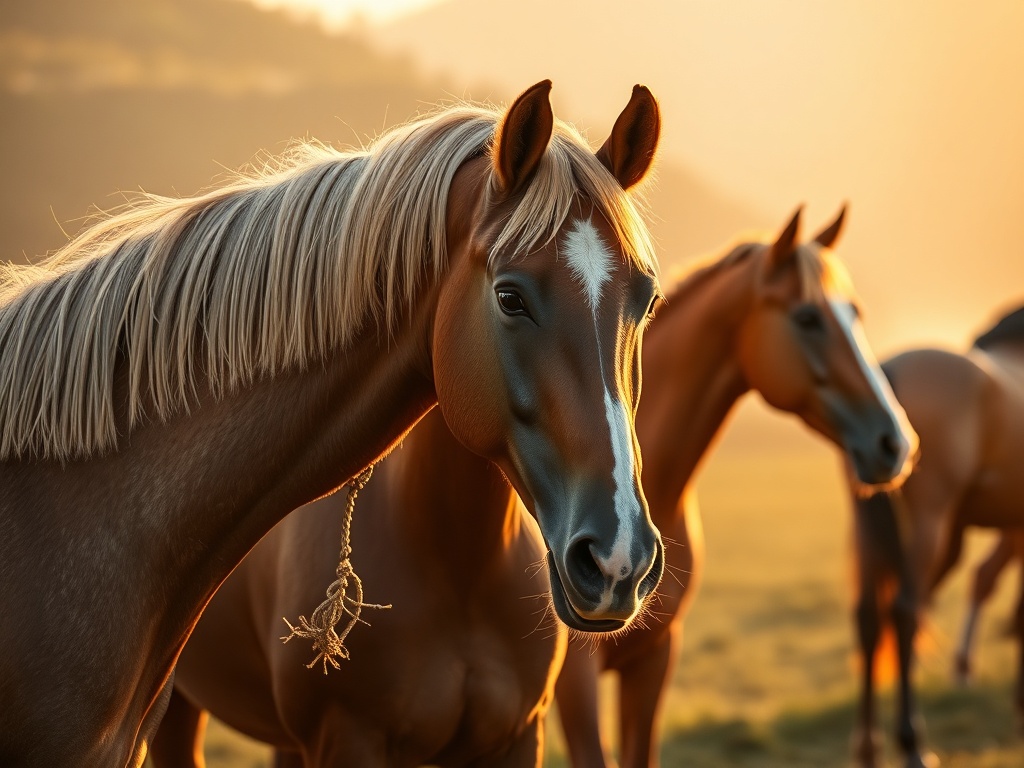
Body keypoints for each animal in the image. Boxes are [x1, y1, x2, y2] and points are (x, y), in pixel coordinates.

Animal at [849, 303, 1024, 768]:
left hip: (870, 525)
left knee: (870, 618)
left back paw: (869, 747)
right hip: (930, 522)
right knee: (905, 611)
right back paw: (913, 744)